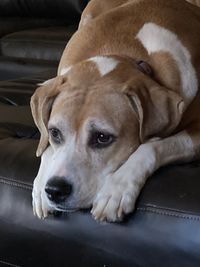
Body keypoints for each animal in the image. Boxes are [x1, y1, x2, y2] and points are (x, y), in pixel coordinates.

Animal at [30, 0, 200, 222]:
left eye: (102, 137)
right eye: (55, 133)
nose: (55, 190)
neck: (122, 52)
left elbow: (151, 146)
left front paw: (116, 189)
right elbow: (45, 146)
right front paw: (41, 185)